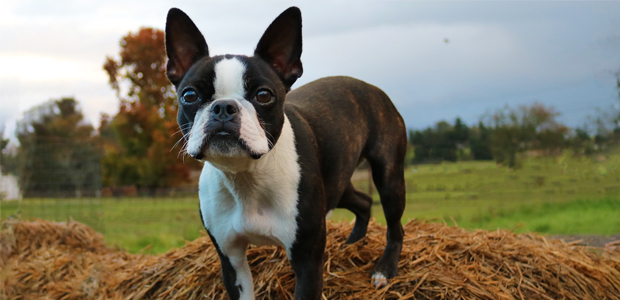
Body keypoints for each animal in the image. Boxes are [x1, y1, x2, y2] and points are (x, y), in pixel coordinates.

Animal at [165, 7, 406, 300]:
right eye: (189, 95)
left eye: (264, 95)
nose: (223, 107)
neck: (246, 177)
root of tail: (371, 87)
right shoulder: (231, 259)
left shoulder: (307, 261)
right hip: (336, 184)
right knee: (363, 201)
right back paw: (351, 244)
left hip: (388, 175)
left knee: (395, 224)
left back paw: (384, 270)